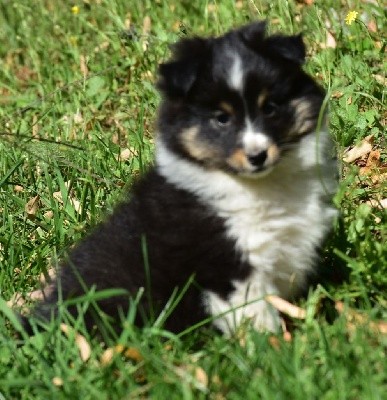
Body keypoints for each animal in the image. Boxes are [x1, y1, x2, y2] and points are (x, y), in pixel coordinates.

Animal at [25, 21, 338, 334]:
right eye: (222, 118)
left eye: (270, 107)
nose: (258, 156)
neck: (258, 186)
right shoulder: (228, 266)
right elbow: (255, 314)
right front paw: (270, 343)